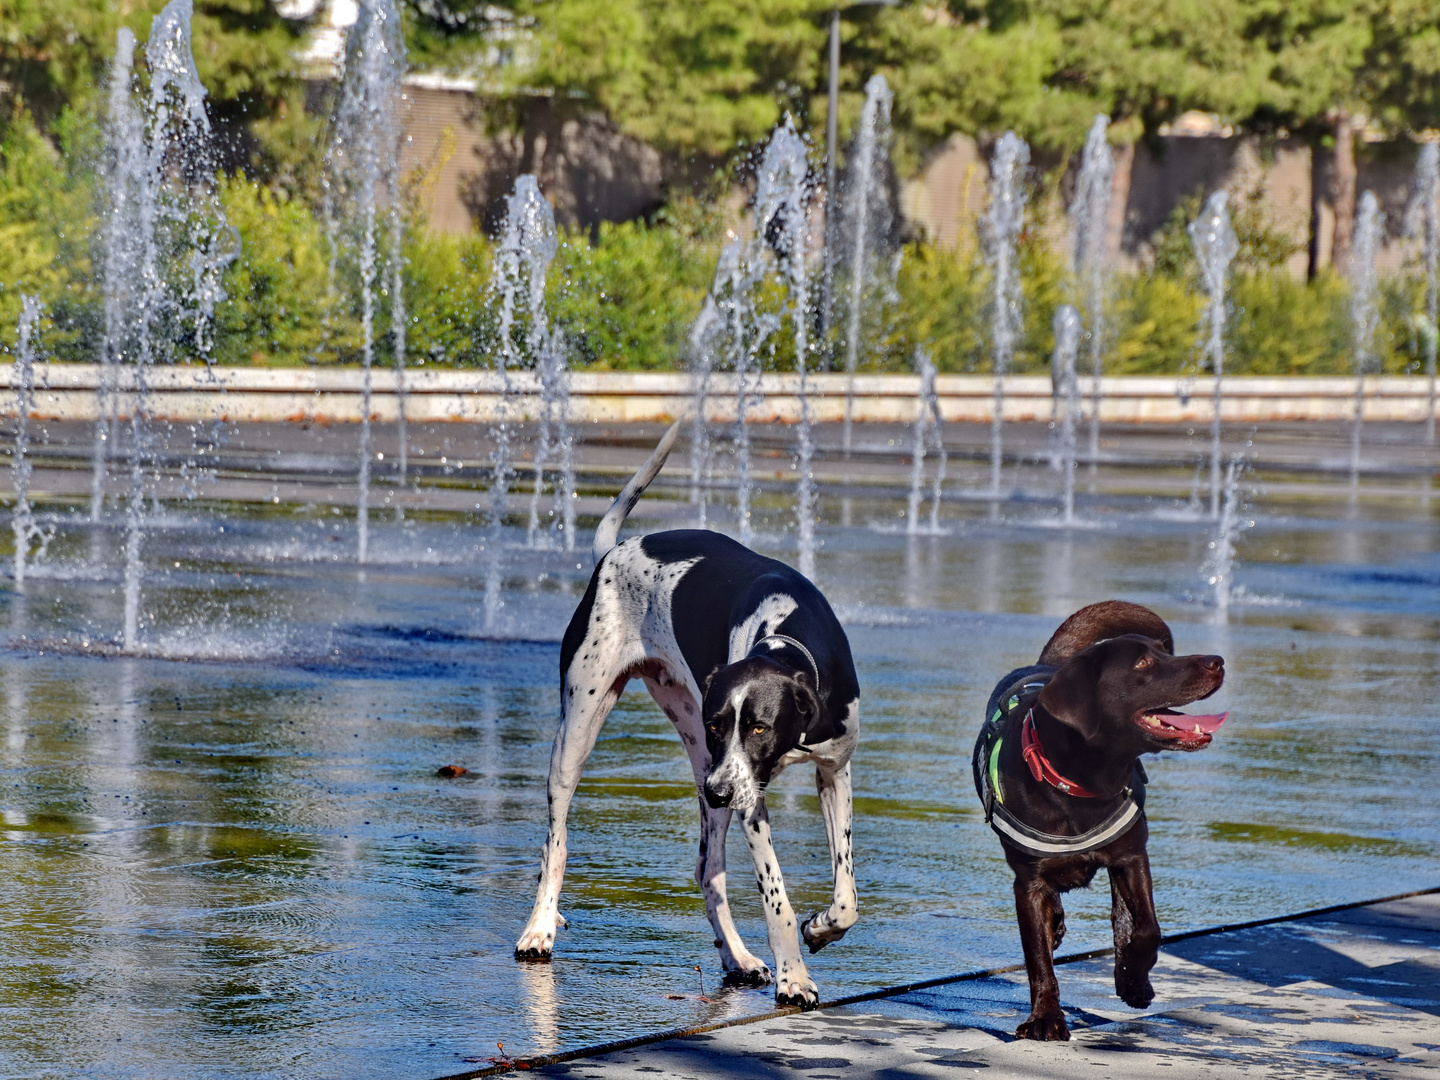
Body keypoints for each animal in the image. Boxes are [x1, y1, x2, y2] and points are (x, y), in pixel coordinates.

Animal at [515, 420, 858, 1008]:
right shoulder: (749, 801)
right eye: (722, 724)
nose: (720, 792)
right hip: (585, 734)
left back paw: (738, 958)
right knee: (554, 844)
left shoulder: (833, 770)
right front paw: (795, 977)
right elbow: (778, 900)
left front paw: (821, 929)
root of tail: (613, 551)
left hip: (702, 766)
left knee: (708, 870)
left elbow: (846, 893)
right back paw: (539, 928)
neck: (788, 643)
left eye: (760, 726)